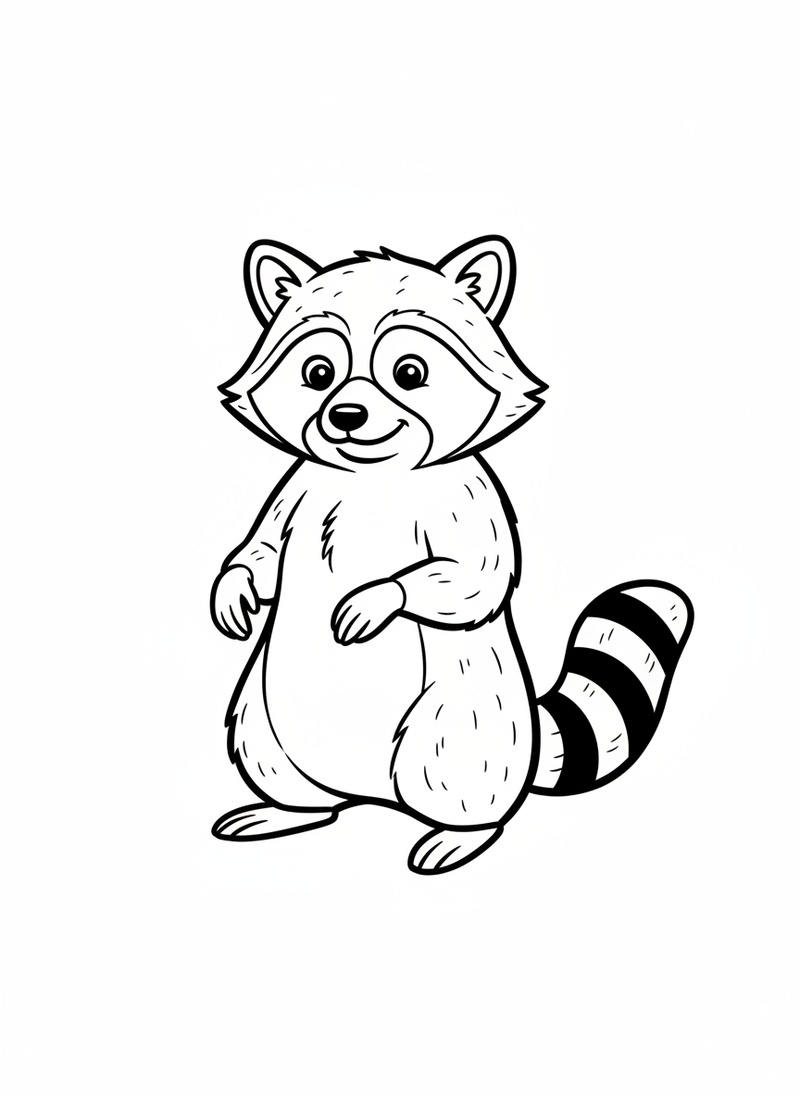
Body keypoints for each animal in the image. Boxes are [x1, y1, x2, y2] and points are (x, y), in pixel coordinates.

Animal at [210, 236, 693, 874]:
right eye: (318, 372)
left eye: (409, 372)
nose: (346, 415)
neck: (375, 480)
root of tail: (373, 796)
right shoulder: (297, 489)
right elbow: (262, 549)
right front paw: (235, 587)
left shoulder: (467, 501)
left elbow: (470, 580)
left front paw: (383, 595)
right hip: (261, 722)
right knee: (284, 769)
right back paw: (290, 809)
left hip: (457, 730)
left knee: (457, 778)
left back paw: (463, 833)